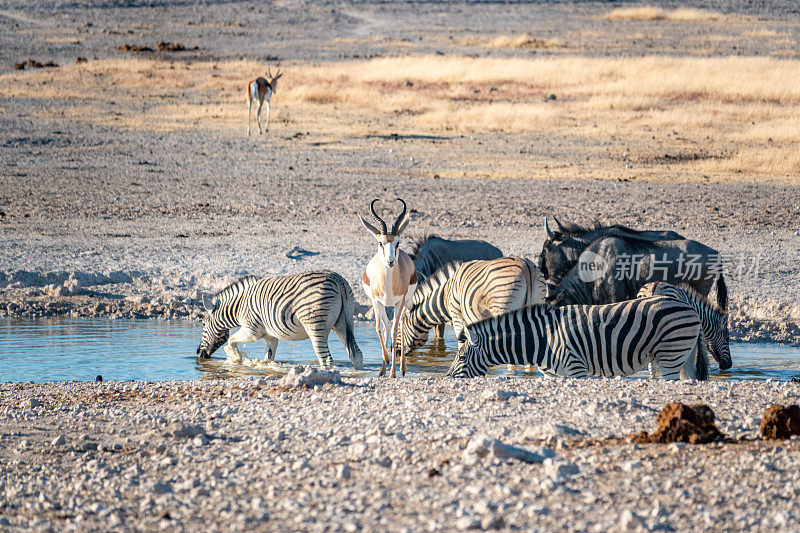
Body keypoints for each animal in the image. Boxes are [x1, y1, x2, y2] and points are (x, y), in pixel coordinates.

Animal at [196, 270, 362, 370]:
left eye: (203, 325)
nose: (198, 353)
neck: (239, 306)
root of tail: (338, 280)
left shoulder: (251, 331)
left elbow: (231, 340)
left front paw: (236, 359)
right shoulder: (271, 336)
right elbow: (268, 358)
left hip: (315, 326)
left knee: (326, 359)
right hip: (343, 323)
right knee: (356, 354)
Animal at [358, 197, 416, 376]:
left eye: (398, 242)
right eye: (380, 242)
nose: (390, 262)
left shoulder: (400, 301)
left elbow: (395, 330)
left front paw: (393, 372)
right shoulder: (375, 301)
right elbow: (378, 328)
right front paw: (386, 360)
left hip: (406, 303)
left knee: (401, 323)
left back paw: (401, 369)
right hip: (383, 305)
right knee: (386, 326)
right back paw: (382, 370)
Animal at [400, 256, 552, 354]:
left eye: (399, 329)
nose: (396, 353)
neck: (446, 295)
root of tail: (527, 267)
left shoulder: (457, 315)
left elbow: (462, 341)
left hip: (502, 306)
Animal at [446, 296, 704, 378]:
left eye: (461, 357)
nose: (447, 379)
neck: (543, 338)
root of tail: (687, 304)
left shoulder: (575, 369)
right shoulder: (552, 375)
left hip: (670, 354)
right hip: (682, 355)